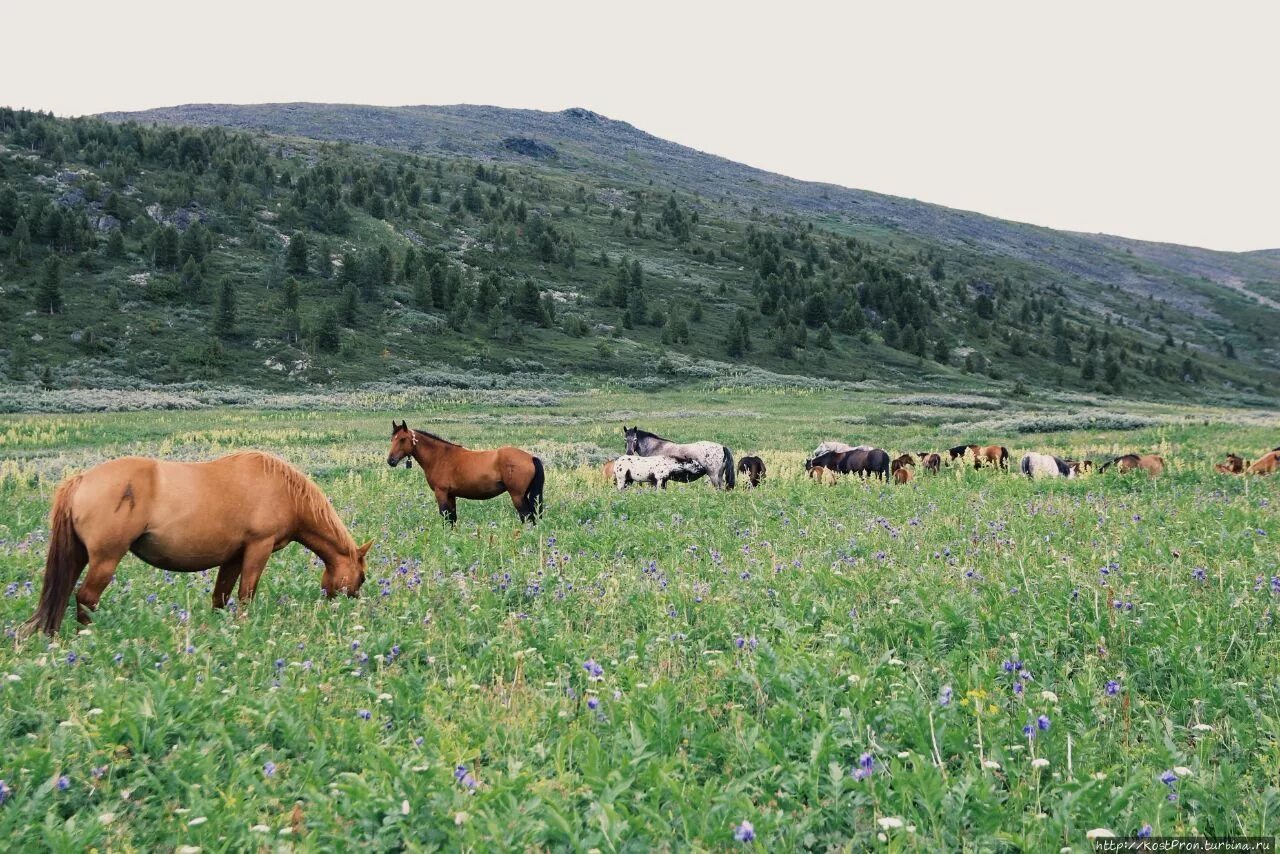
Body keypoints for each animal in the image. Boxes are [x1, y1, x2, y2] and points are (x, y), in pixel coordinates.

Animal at [20, 453, 371, 640]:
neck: (283, 490)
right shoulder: (258, 548)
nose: (349, 606)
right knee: (85, 598)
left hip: (78, 557)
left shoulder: (233, 557)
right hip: (105, 560)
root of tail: (81, 479)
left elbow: (221, 598)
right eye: (363, 577)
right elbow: (246, 594)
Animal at [378, 422, 540, 524]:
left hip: (517, 496)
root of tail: (530, 457)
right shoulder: (451, 495)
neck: (440, 456)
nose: (391, 460)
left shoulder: (441, 493)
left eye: (402, 439)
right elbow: (452, 518)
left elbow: (445, 517)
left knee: (526, 515)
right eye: (392, 439)